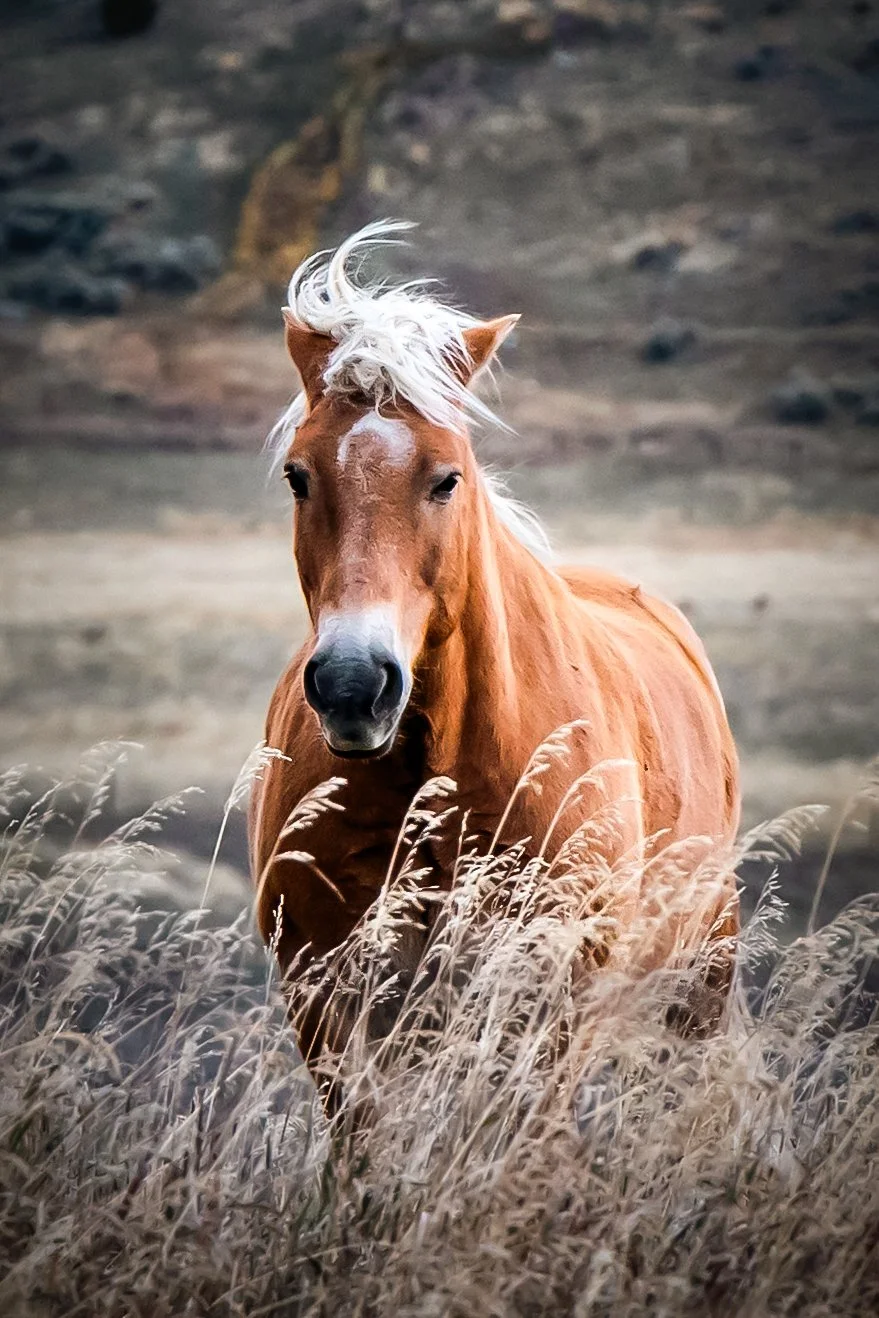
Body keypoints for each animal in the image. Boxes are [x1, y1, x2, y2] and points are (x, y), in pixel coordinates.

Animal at [249, 221, 741, 1082]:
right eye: (297, 476)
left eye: (447, 478)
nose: (352, 684)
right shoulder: (328, 1010)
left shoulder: (548, 1014)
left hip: (696, 991)